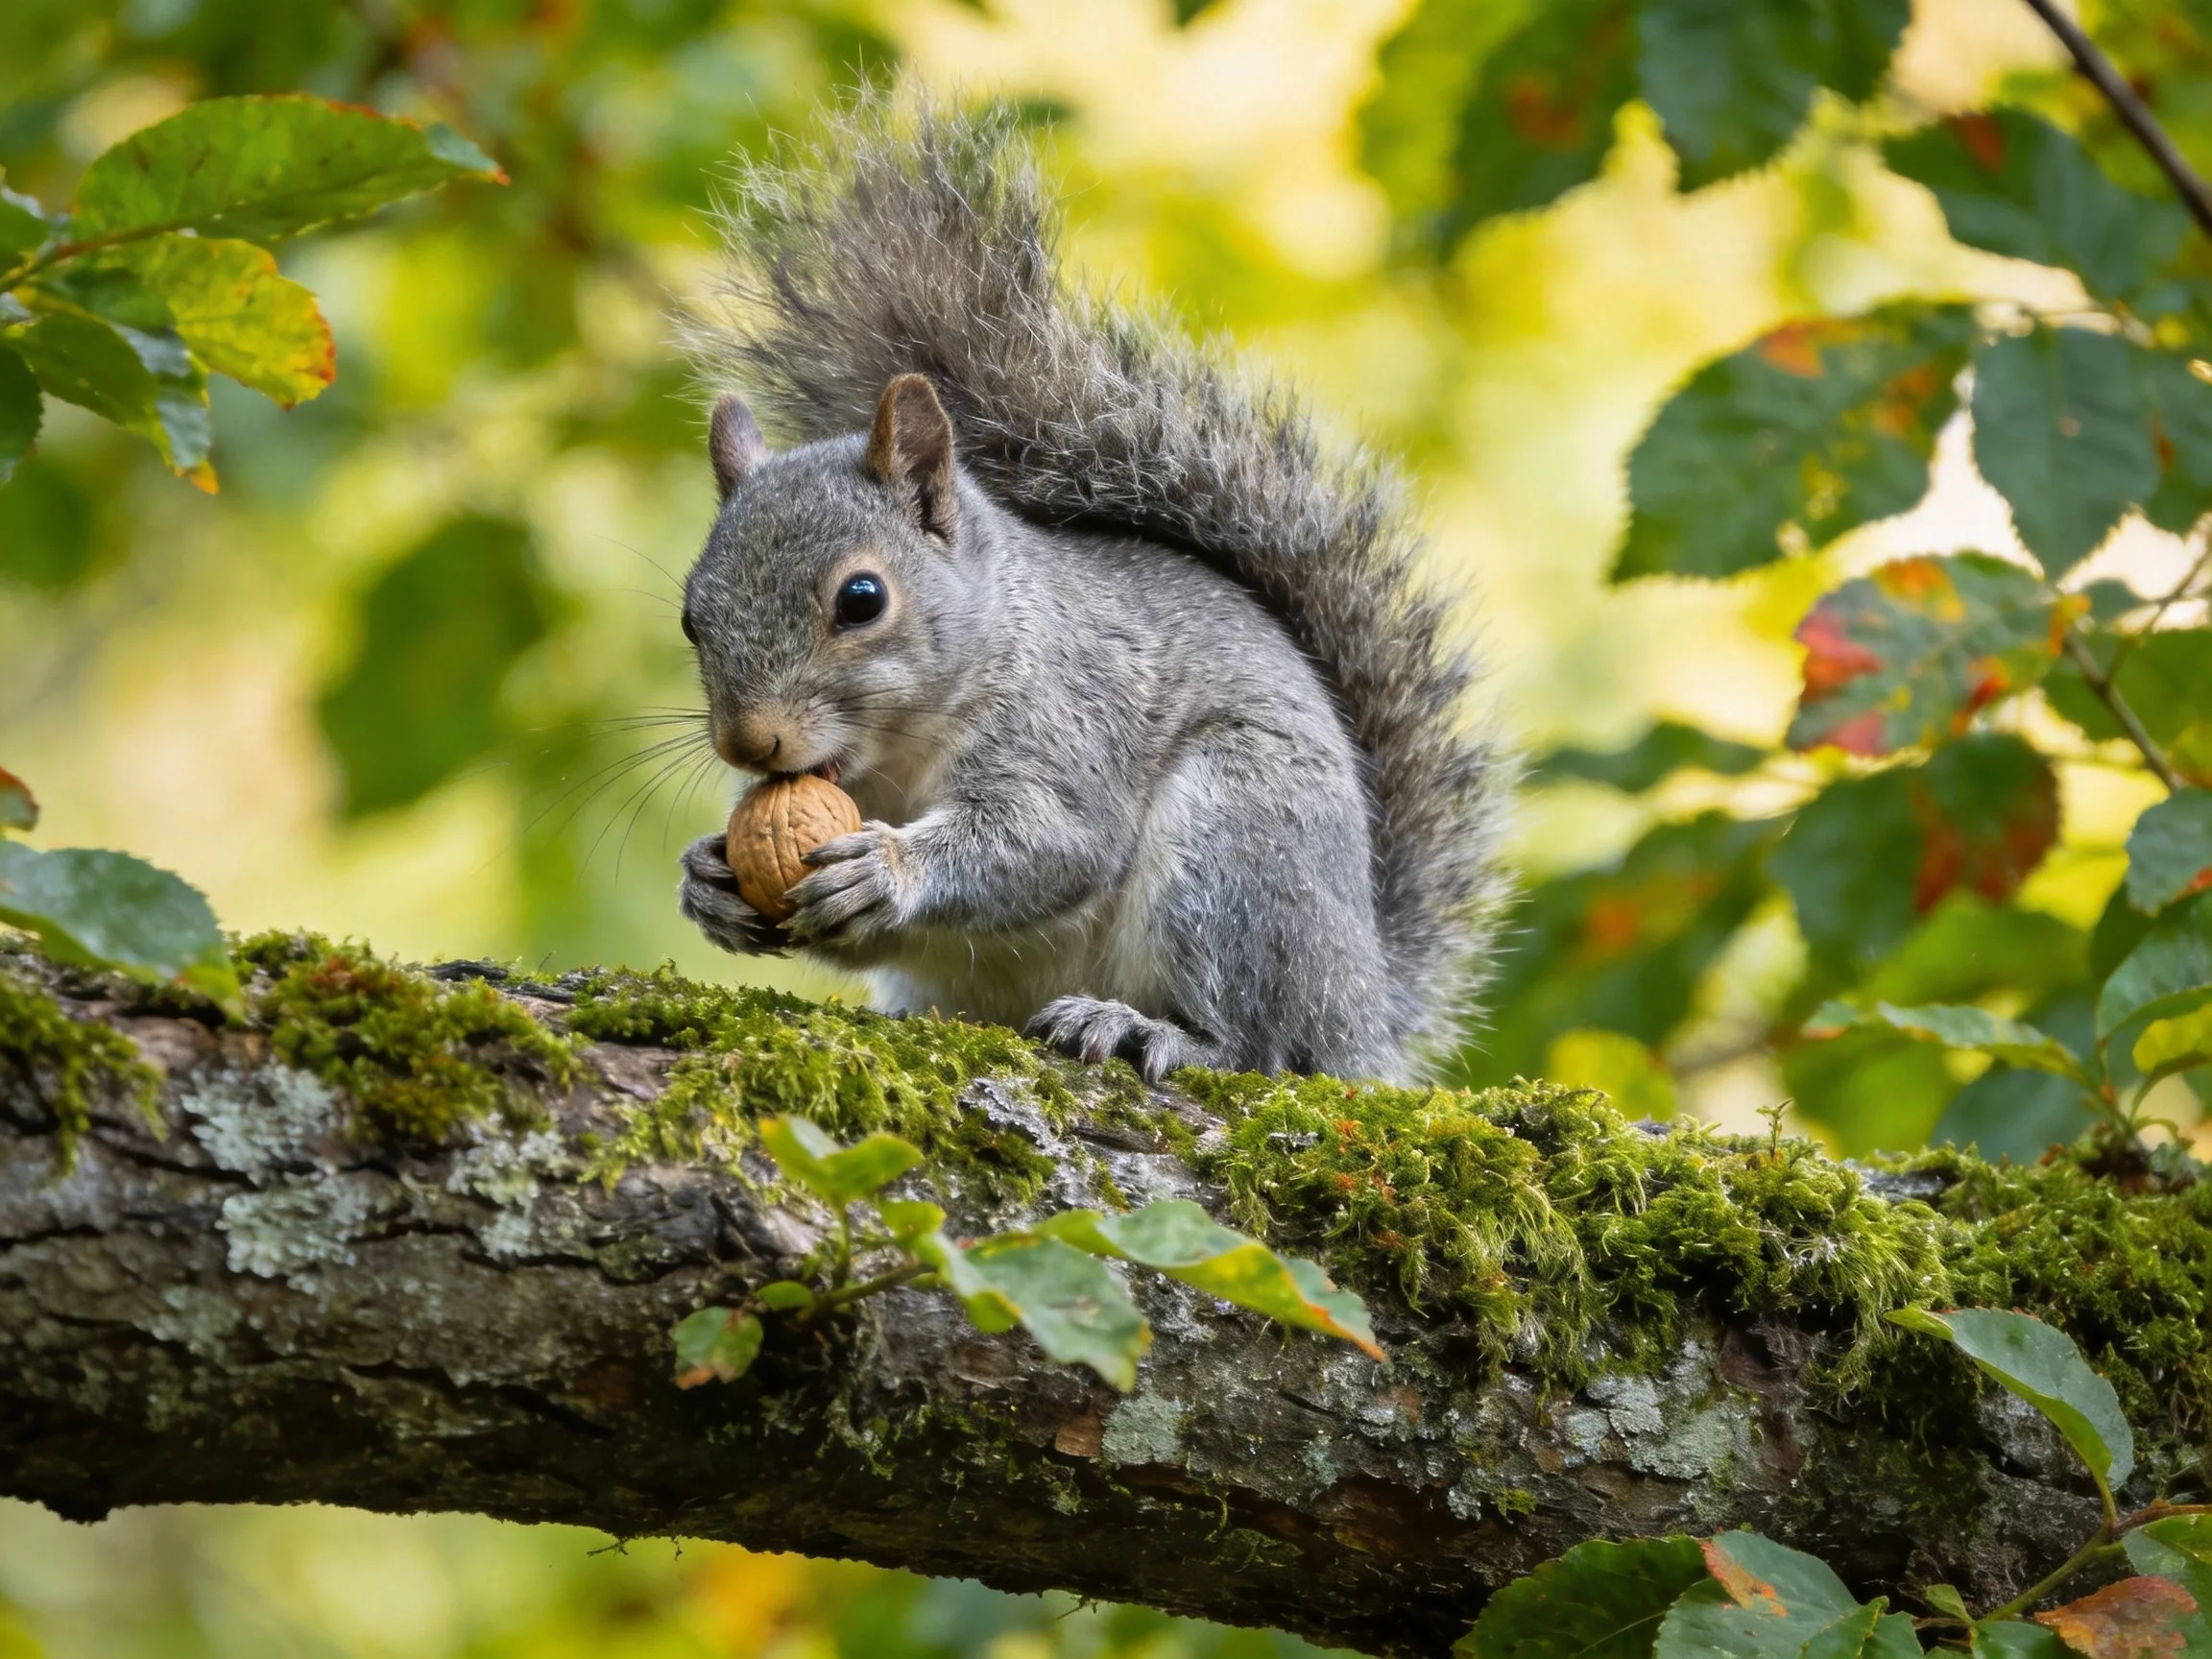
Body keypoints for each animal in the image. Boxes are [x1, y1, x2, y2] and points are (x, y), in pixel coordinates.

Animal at [674, 97, 1510, 1085]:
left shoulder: (1072, 720)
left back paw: (1151, 1031)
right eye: (691, 619)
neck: (898, 755)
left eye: (863, 599)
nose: (748, 742)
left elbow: (1054, 842)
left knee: (1255, 1043)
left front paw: (889, 870)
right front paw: (708, 879)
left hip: (1234, 848)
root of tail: (1363, 1013)